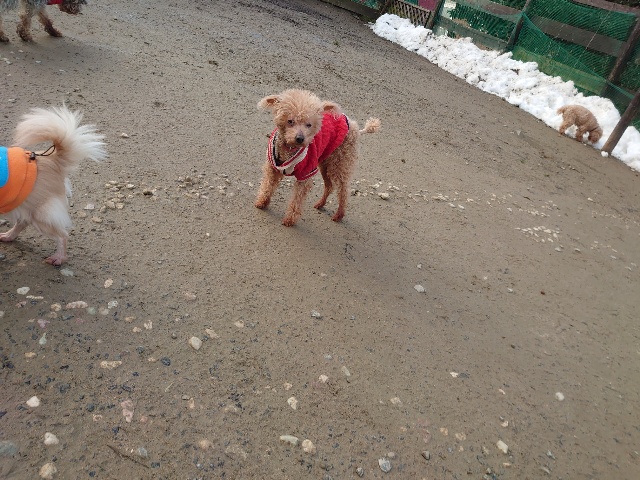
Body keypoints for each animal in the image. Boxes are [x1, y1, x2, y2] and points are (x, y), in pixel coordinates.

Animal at [1, 106, 106, 265]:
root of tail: (53, 159)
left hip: (41, 214)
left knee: (62, 235)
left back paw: (58, 258)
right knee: (23, 222)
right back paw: (8, 236)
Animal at [255, 89, 381, 226]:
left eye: (309, 125)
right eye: (290, 121)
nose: (300, 138)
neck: (290, 149)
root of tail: (355, 126)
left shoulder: (306, 174)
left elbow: (296, 200)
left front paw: (289, 219)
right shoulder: (272, 168)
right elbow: (267, 185)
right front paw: (262, 202)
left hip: (340, 163)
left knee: (343, 190)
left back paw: (339, 214)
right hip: (325, 164)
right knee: (329, 186)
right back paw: (321, 204)